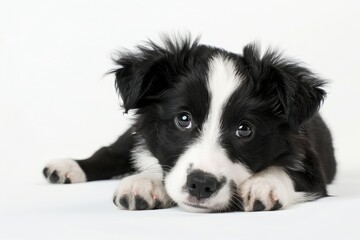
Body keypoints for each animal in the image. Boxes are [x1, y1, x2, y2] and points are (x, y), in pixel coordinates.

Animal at [43, 35, 336, 212]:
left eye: (244, 129)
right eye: (183, 119)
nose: (201, 185)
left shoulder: (310, 159)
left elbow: (285, 169)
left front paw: (263, 184)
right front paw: (144, 182)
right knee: (111, 151)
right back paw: (67, 167)